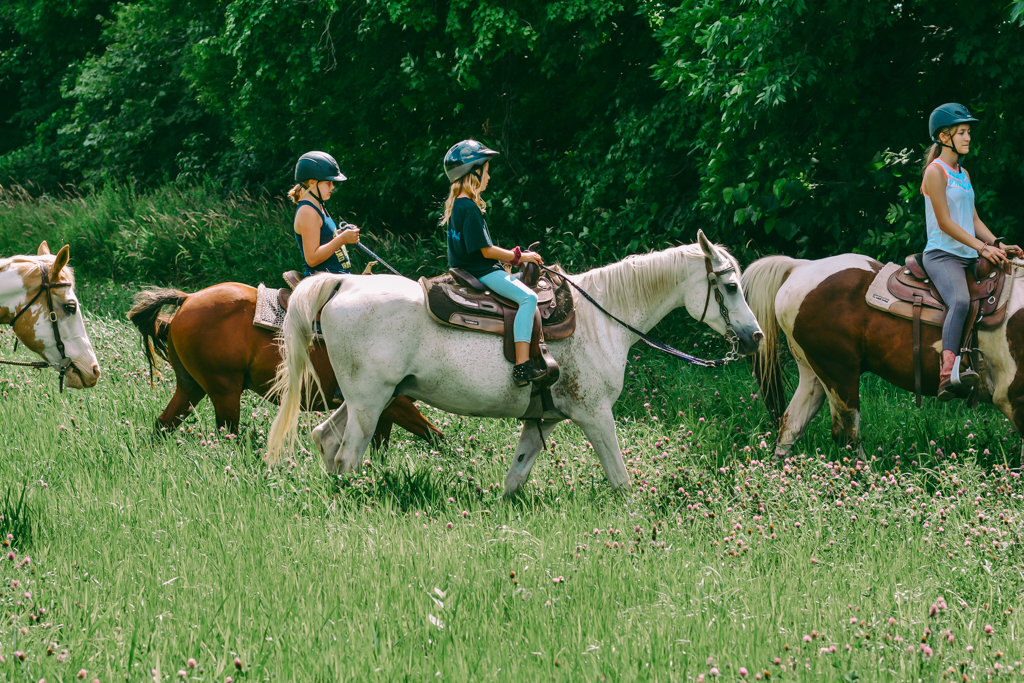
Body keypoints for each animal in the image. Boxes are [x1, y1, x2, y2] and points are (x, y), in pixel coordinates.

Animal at [127, 283, 443, 448]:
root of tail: (189, 298)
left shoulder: (385, 410)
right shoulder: (396, 404)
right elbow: (436, 436)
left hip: (191, 388)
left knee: (163, 424)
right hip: (224, 391)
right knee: (226, 433)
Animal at [266, 231, 764, 495]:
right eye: (731, 286)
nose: (755, 337)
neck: (603, 317)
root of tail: (344, 284)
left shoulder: (542, 420)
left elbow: (515, 477)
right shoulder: (596, 415)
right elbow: (621, 481)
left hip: (369, 398)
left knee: (325, 439)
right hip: (370, 402)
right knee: (348, 454)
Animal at [742, 253, 1024, 457]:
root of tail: (799, 267)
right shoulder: (1012, 395)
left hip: (814, 376)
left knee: (790, 426)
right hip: (840, 375)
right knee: (847, 434)